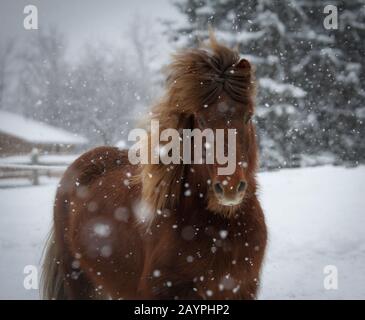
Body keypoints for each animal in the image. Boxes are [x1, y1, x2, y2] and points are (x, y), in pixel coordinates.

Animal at [41, 35, 266, 300]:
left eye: (248, 116)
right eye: (201, 121)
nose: (230, 188)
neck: (220, 228)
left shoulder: (242, 288)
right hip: (77, 279)